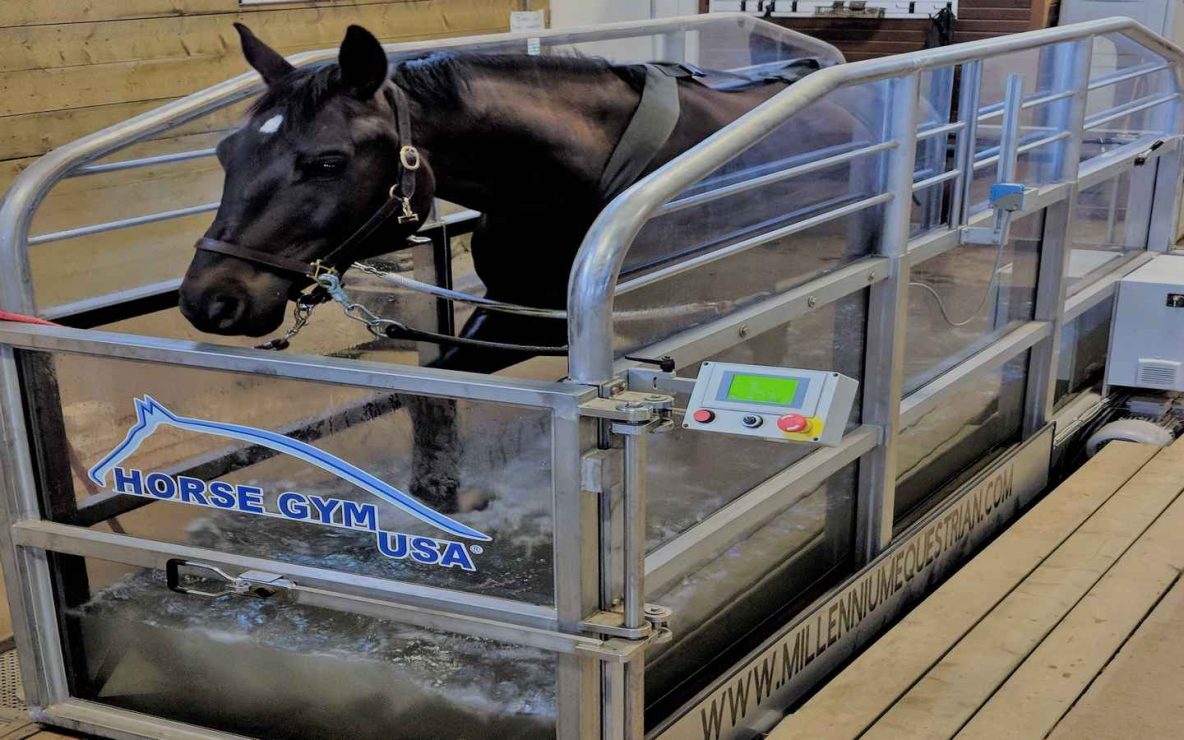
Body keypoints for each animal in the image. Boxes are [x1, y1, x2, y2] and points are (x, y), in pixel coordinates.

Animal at [179, 21, 876, 506]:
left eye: (326, 161)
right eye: (226, 151)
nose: (210, 299)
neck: (567, 176)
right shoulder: (514, 310)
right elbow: (430, 390)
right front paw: (439, 492)